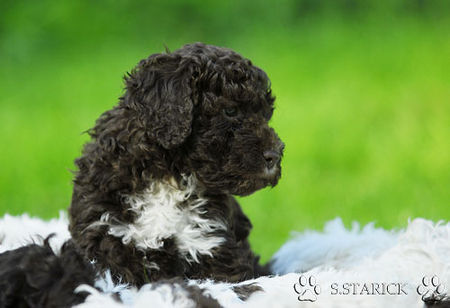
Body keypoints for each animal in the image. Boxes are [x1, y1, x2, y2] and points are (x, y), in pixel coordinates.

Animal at [68, 42, 284, 286]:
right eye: (230, 111)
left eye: (266, 114)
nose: (275, 155)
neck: (169, 174)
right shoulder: (106, 238)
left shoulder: (211, 243)